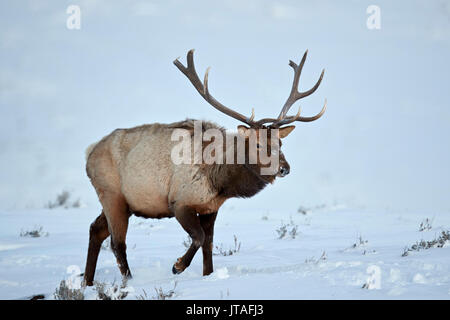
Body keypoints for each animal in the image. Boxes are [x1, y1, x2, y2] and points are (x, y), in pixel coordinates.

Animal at [82, 48, 326, 284]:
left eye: (280, 142)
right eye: (258, 144)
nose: (285, 168)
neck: (220, 182)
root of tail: (89, 153)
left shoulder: (211, 207)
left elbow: (208, 244)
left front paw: (208, 275)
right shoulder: (179, 201)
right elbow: (198, 238)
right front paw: (177, 266)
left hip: (124, 202)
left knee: (96, 229)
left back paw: (87, 282)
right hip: (112, 194)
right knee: (117, 243)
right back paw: (128, 281)